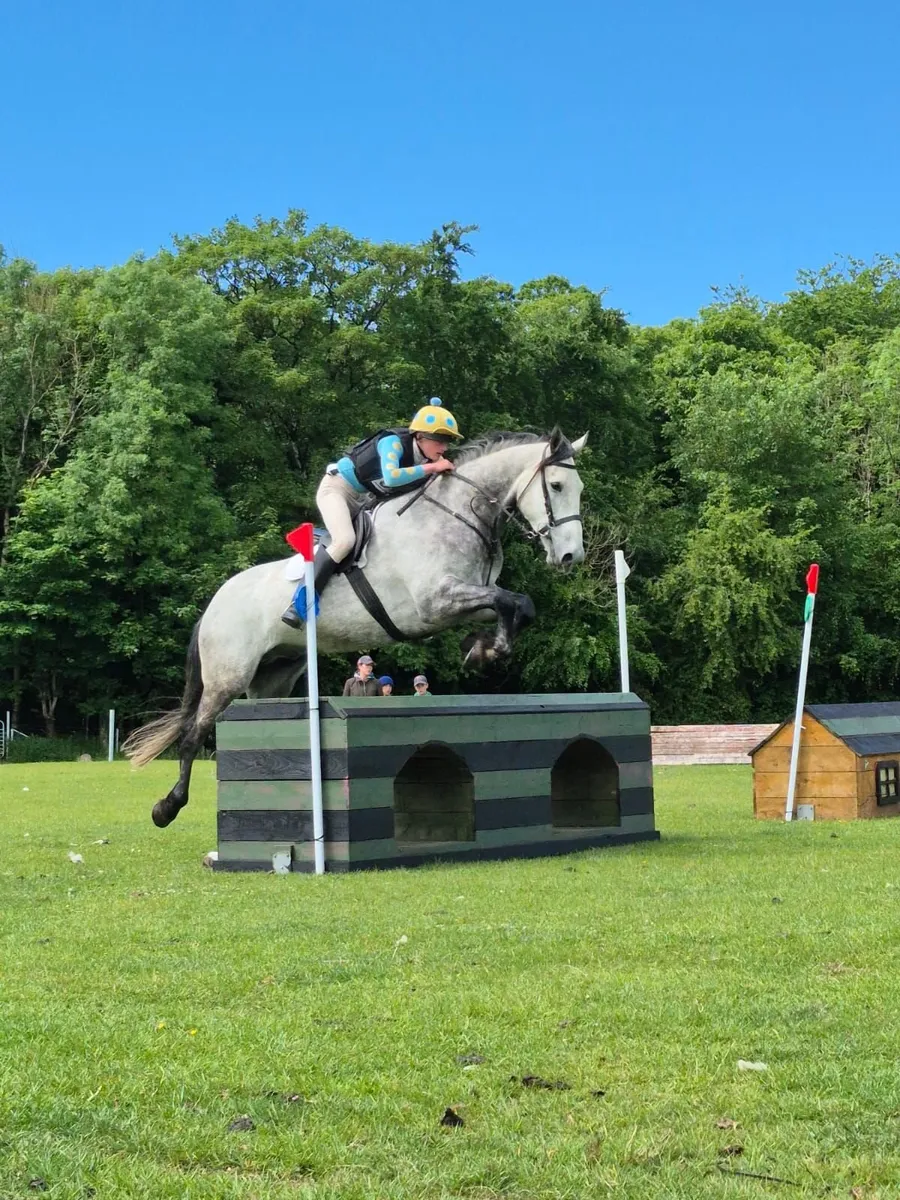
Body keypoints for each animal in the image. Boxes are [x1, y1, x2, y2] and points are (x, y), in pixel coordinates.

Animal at [124, 428, 588, 828]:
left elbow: (517, 605)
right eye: (557, 486)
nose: (571, 557)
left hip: (273, 677)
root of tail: (215, 604)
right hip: (226, 675)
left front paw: (482, 649)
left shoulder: (465, 599)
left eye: (579, 489)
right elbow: (508, 601)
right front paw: (485, 650)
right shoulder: (434, 603)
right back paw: (166, 808)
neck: (458, 513)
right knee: (192, 735)